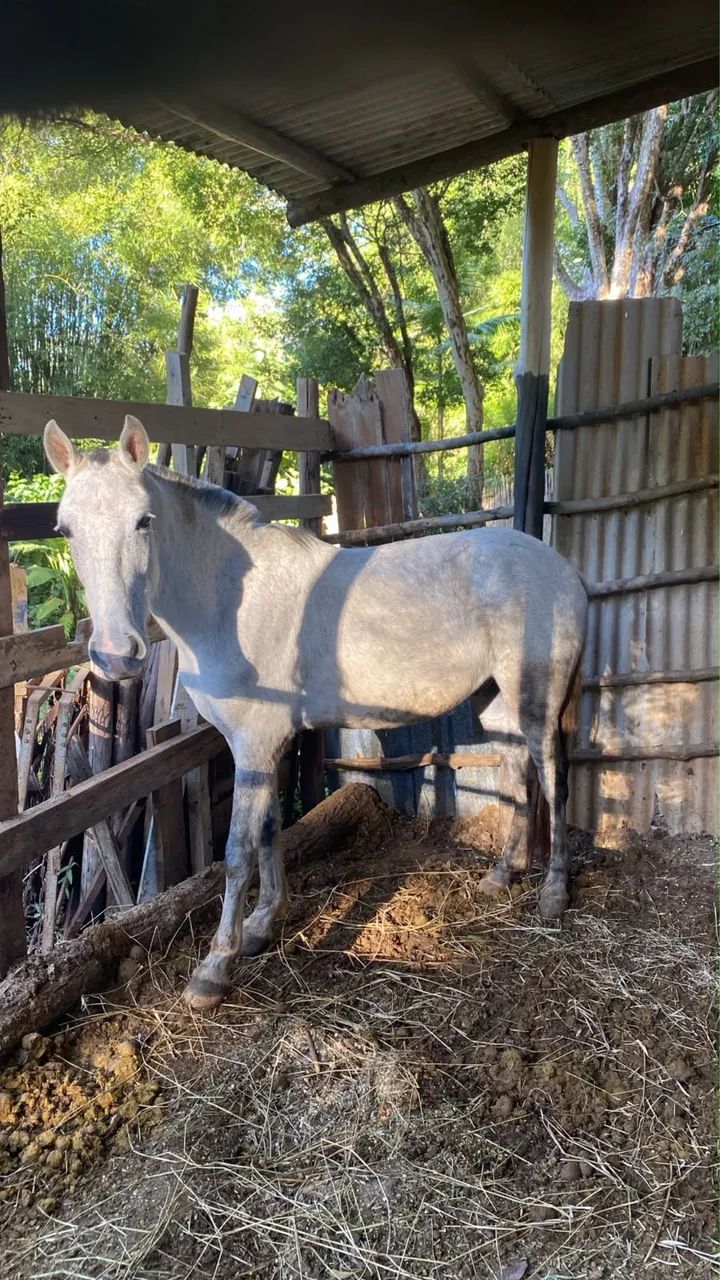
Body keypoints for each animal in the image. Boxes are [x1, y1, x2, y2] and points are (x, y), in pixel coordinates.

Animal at [44, 414, 588, 1010]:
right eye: (66, 530)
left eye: (144, 521)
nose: (116, 655)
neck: (230, 602)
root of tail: (561, 570)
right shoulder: (263, 746)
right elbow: (269, 830)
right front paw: (262, 925)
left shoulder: (254, 744)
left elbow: (236, 850)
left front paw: (214, 968)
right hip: (496, 701)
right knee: (517, 774)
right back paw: (501, 875)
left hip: (536, 698)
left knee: (554, 778)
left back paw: (553, 892)